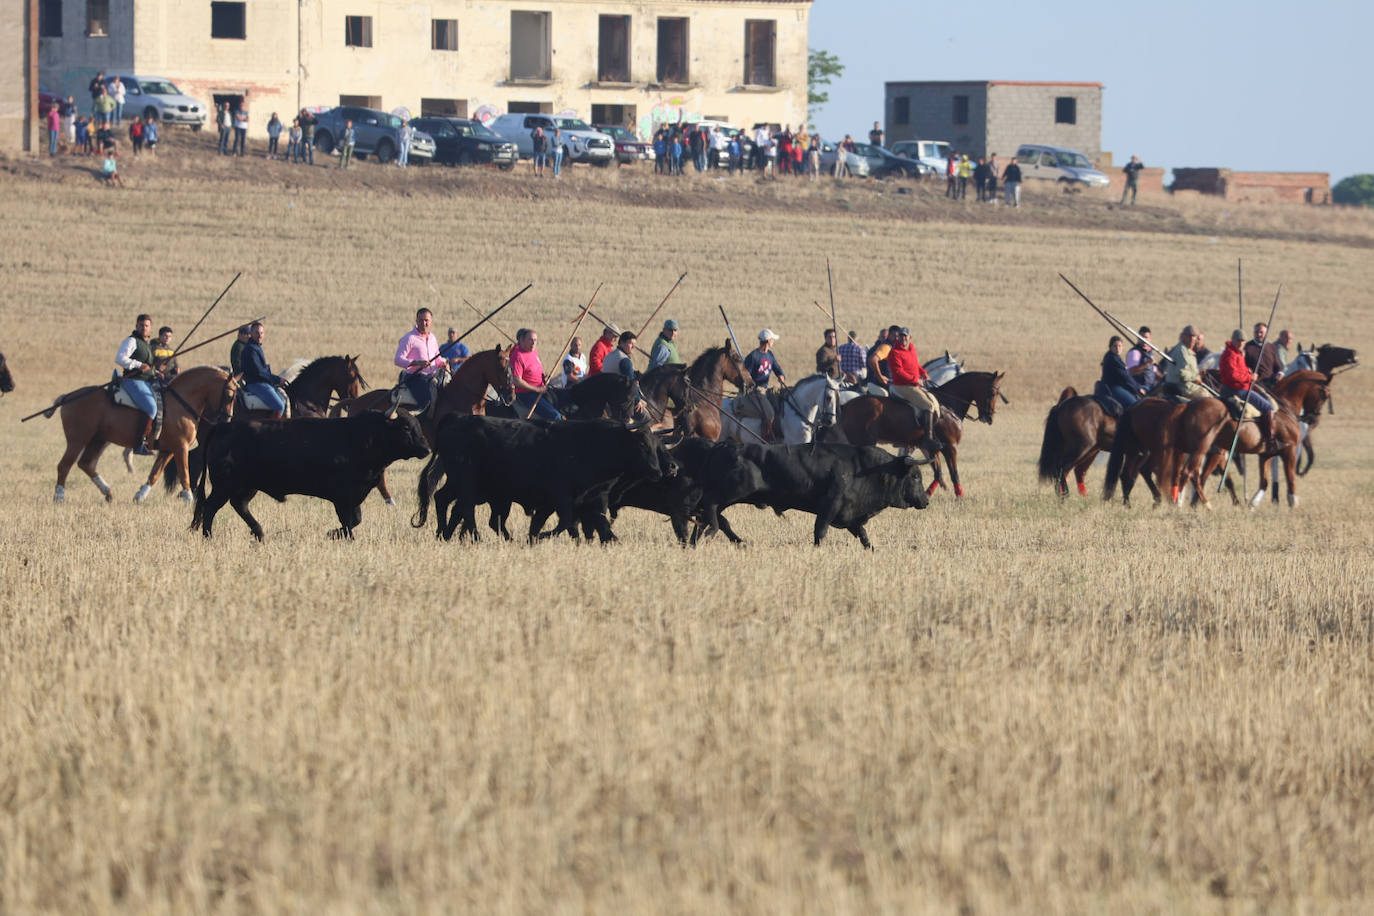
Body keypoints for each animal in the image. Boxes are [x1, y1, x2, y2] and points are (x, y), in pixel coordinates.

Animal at [47, 365, 237, 505]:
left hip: (98, 440)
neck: (180, 402)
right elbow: (184, 473)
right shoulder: (180, 447)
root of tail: (69, 396)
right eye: (230, 395)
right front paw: (189, 499)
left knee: (86, 464)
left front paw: (140, 496)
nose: (227, 419)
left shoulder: (167, 450)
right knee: (64, 466)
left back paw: (108, 493)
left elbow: (155, 474)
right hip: (77, 441)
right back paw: (59, 497)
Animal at [192, 414, 428, 538]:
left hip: (246, 486)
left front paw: (333, 534)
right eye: (406, 428)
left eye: (418, 426)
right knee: (210, 507)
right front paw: (337, 535)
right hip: (224, 486)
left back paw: (259, 533)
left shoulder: (353, 497)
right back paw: (208, 536)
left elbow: (355, 520)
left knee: (239, 505)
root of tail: (222, 426)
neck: (366, 437)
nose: (425, 449)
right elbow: (349, 522)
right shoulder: (342, 496)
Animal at [829, 370, 1005, 497]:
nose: (989, 417)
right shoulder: (950, 447)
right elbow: (953, 473)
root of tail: (846, 405)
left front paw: (926, 495)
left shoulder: (930, 448)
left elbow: (938, 474)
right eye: (992, 393)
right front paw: (960, 497)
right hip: (865, 442)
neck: (948, 406)